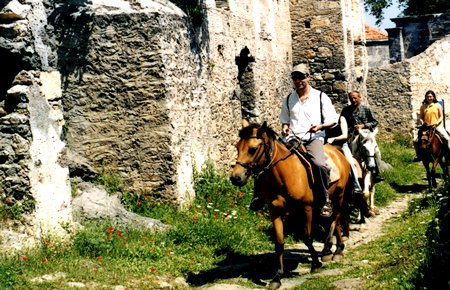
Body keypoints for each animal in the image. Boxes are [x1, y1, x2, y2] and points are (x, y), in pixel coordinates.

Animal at [230, 119, 350, 288]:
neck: (284, 174)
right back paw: (331, 251)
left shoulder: (306, 208)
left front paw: (315, 264)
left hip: (339, 194)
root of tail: (337, 151)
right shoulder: (275, 210)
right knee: (334, 220)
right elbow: (279, 243)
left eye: (253, 149)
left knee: (336, 218)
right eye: (236, 147)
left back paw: (336, 250)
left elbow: (307, 237)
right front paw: (277, 277)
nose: (236, 178)